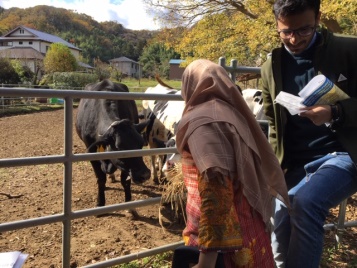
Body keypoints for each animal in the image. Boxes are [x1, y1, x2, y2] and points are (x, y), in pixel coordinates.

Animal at [76, 79, 150, 207]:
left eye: (140, 144)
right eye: (119, 148)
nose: (144, 175)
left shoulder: (125, 165)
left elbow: (125, 180)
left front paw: (129, 204)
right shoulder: (91, 151)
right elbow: (100, 179)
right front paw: (100, 202)